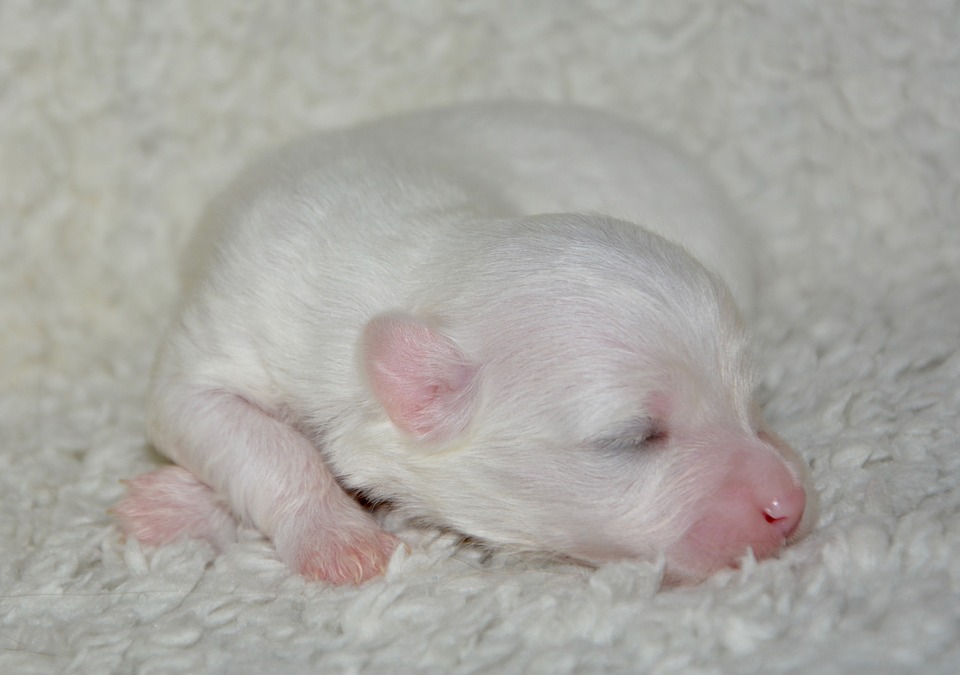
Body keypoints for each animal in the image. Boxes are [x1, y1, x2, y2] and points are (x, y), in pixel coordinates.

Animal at [116, 103, 812, 584]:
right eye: (633, 438)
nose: (791, 504)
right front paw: (339, 539)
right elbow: (254, 438)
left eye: (750, 401)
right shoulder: (228, 329)